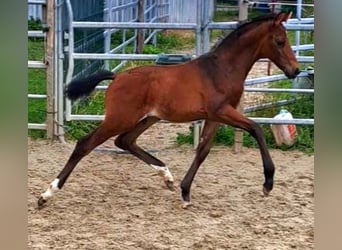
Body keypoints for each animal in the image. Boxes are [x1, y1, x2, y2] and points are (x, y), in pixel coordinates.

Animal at [38, 11, 300, 208]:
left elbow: (203, 150)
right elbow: (256, 129)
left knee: (125, 141)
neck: (221, 69)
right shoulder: (222, 111)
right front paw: (267, 184)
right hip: (120, 118)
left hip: (148, 118)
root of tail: (117, 76)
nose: (295, 70)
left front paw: (185, 192)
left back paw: (167, 176)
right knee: (86, 144)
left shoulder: (214, 116)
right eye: (280, 41)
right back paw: (46, 194)